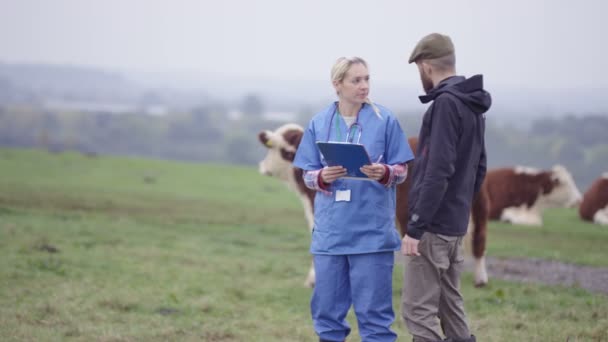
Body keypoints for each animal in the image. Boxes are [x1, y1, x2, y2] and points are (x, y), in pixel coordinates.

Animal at [258, 124, 492, 288]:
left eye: (284, 151)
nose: (263, 167)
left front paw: (313, 280)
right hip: (478, 205)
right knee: (478, 240)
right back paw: (480, 278)